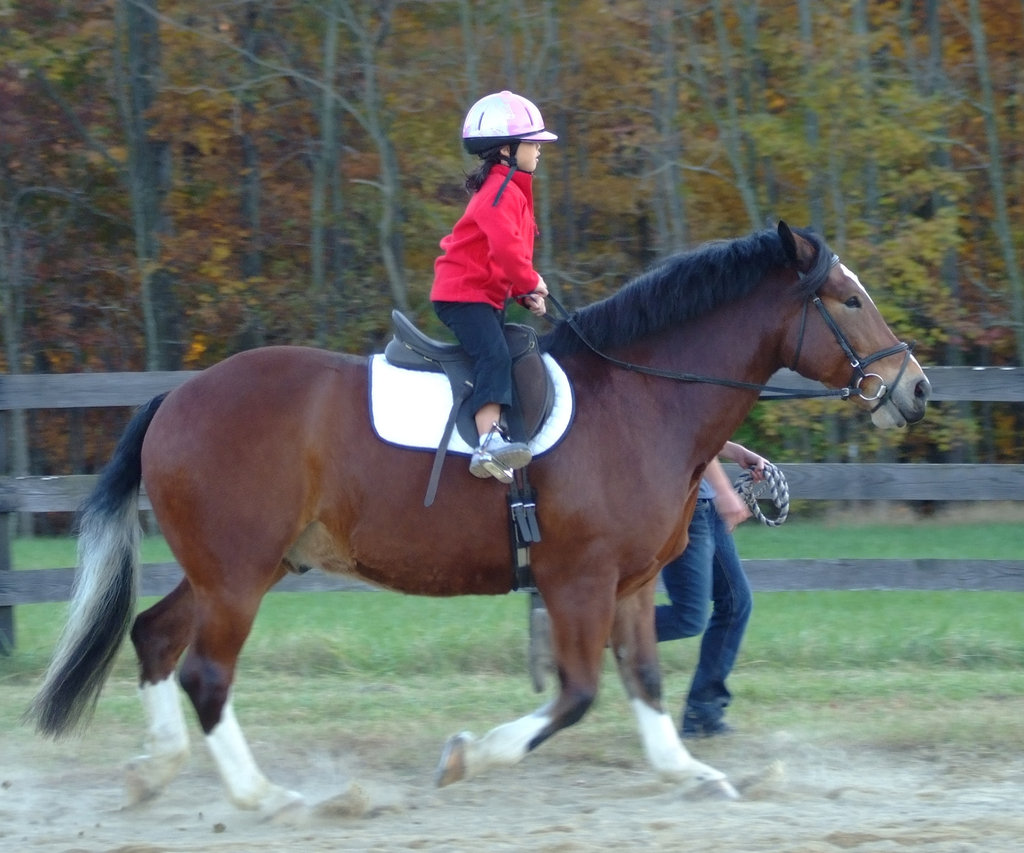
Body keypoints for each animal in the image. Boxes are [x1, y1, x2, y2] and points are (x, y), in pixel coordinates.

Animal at [28, 221, 930, 814]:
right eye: (849, 299)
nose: (915, 388)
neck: (639, 397)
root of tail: (176, 397)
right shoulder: (577, 580)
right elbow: (576, 693)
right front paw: (468, 756)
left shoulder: (631, 583)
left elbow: (642, 679)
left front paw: (689, 772)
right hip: (240, 575)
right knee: (206, 672)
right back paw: (268, 795)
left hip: (236, 568)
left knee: (154, 636)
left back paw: (156, 770)